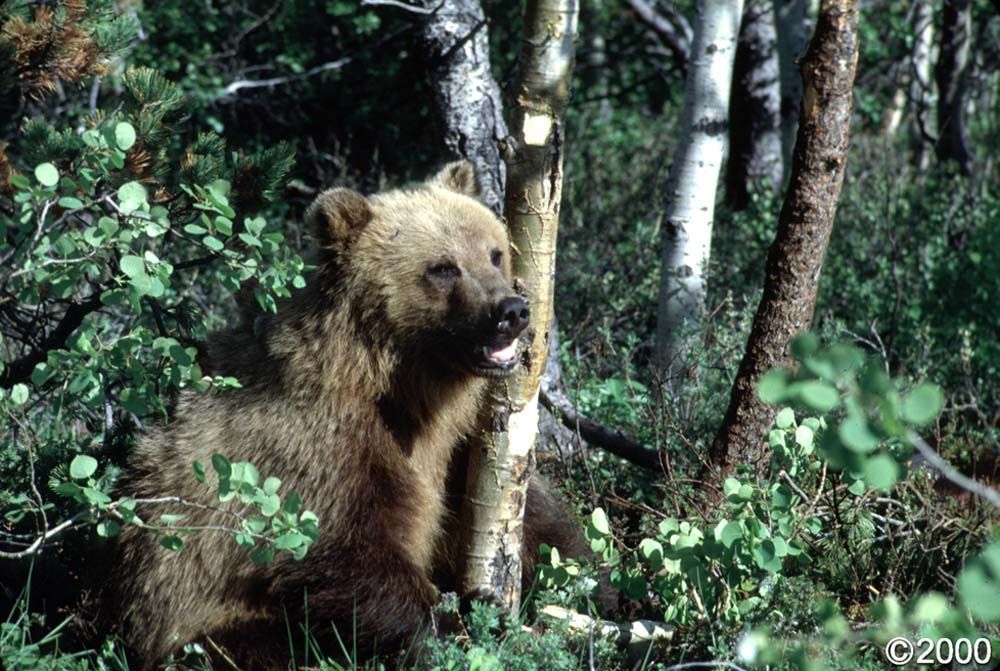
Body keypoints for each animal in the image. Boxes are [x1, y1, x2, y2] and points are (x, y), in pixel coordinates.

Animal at [99, 162, 592, 670]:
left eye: (494, 254)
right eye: (442, 268)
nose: (511, 311)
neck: (403, 388)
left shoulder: (456, 440)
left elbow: (542, 522)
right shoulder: (316, 443)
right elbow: (344, 551)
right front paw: (458, 623)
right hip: (195, 621)